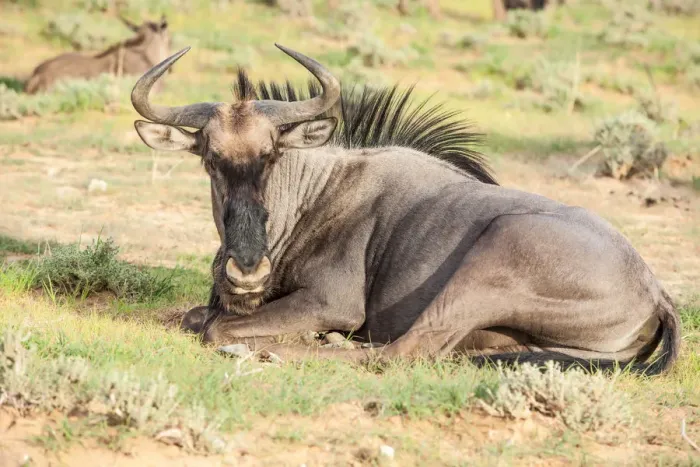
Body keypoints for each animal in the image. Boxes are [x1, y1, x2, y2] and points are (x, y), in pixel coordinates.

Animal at [131, 45, 680, 374]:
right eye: (210, 159)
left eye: (271, 154)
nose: (246, 272)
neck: (317, 192)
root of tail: (655, 292)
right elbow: (192, 316)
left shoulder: (331, 301)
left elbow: (214, 326)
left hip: (490, 258)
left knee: (399, 351)